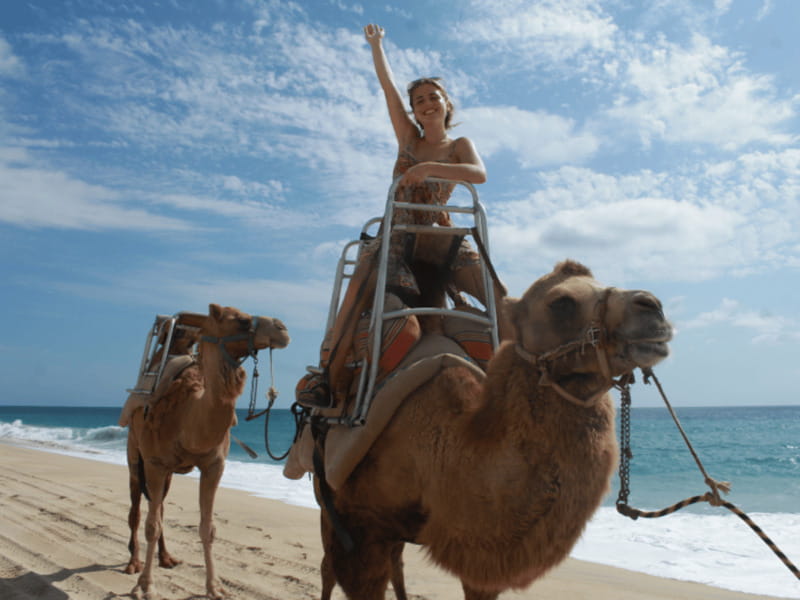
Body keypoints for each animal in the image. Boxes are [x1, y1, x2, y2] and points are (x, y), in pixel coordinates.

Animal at [125, 303, 290, 600]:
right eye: (241, 320)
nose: (282, 329)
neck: (188, 416)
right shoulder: (155, 463)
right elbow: (151, 525)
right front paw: (145, 586)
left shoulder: (214, 465)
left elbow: (207, 528)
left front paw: (215, 586)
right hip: (135, 452)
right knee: (137, 508)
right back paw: (133, 564)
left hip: (167, 473)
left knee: (160, 506)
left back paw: (167, 558)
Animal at [315, 260, 672, 599]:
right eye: (561, 302)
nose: (652, 306)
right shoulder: (356, 523)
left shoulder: (482, 556)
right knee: (330, 569)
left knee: (395, 565)